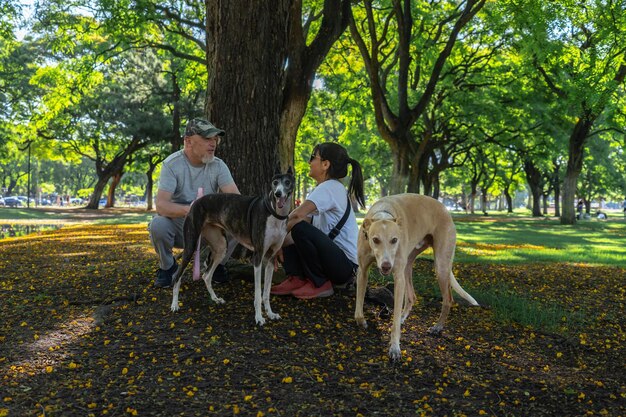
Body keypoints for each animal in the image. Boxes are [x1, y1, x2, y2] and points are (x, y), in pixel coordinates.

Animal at [169, 167, 296, 324]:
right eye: (275, 182)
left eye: (287, 182)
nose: (278, 193)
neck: (274, 213)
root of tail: (196, 202)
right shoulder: (258, 257)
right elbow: (258, 293)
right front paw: (259, 317)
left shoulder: (271, 258)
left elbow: (266, 293)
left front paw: (271, 314)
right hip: (190, 246)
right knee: (177, 276)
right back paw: (174, 305)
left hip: (221, 247)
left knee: (206, 275)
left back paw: (215, 299)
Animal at [352, 193, 478, 360]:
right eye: (375, 239)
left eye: (394, 240)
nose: (386, 266)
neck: (383, 213)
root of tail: (444, 208)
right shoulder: (362, 271)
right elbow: (359, 305)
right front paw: (361, 322)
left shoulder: (398, 277)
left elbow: (394, 324)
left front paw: (395, 348)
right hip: (408, 265)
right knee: (412, 297)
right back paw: (403, 317)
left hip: (440, 266)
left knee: (448, 299)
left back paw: (437, 327)